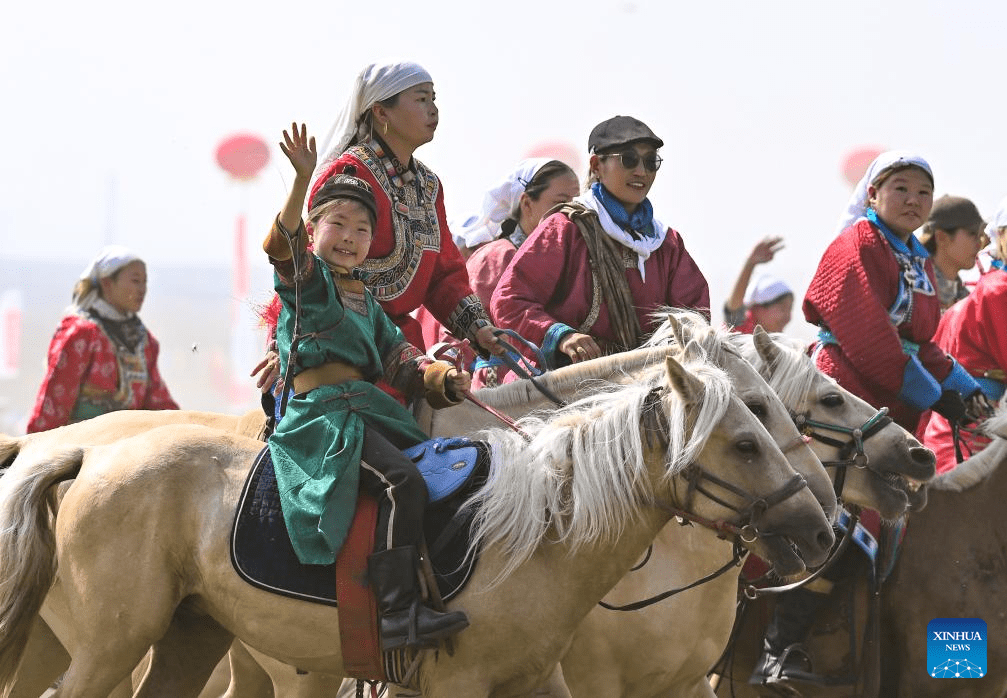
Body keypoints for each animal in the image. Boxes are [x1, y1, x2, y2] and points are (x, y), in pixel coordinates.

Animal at [0, 356, 833, 692]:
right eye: (748, 432)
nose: (820, 527)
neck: (540, 537)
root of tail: (75, 454)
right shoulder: (460, 684)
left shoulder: (535, 682)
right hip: (111, 647)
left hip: (186, 637)